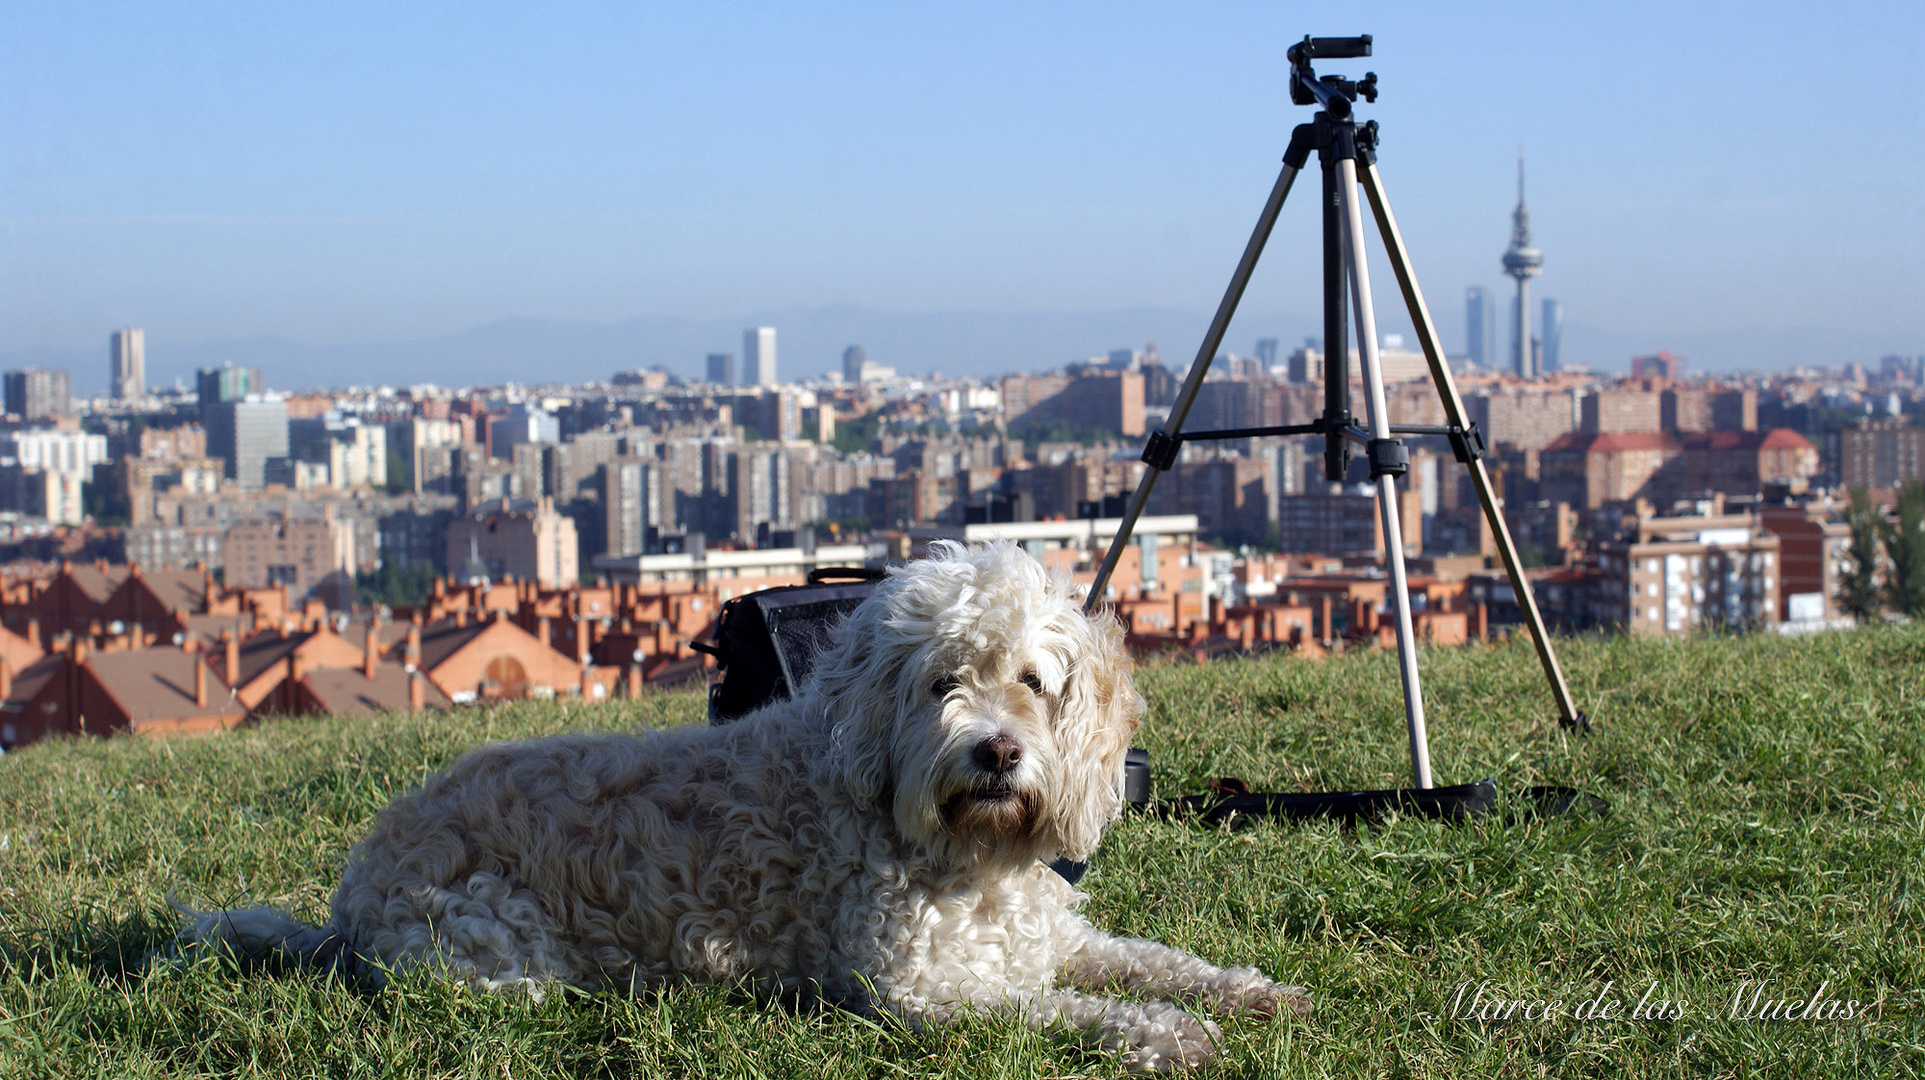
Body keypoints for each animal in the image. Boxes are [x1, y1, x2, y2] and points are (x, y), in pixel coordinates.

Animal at [187, 542, 1309, 1062]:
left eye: (1032, 682)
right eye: (941, 683)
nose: (994, 753)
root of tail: (347, 898)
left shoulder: (1055, 939)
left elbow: (1154, 961)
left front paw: (1254, 994)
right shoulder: (923, 990)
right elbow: (1070, 1011)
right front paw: (1165, 1035)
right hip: (496, 953)